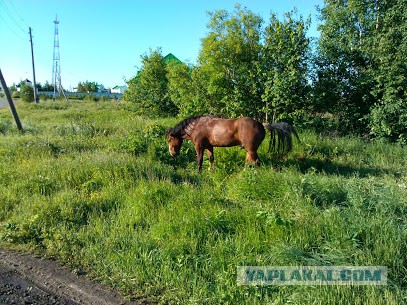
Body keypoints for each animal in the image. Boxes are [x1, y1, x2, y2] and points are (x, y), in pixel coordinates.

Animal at [167, 115, 298, 171]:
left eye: (169, 139)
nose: (172, 154)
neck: (196, 126)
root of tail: (262, 125)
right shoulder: (209, 146)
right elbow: (211, 159)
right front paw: (212, 171)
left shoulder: (199, 147)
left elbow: (199, 161)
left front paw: (198, 173)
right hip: (250, 150)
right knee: (250, 161)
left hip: (251, 149)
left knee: (256, 162)